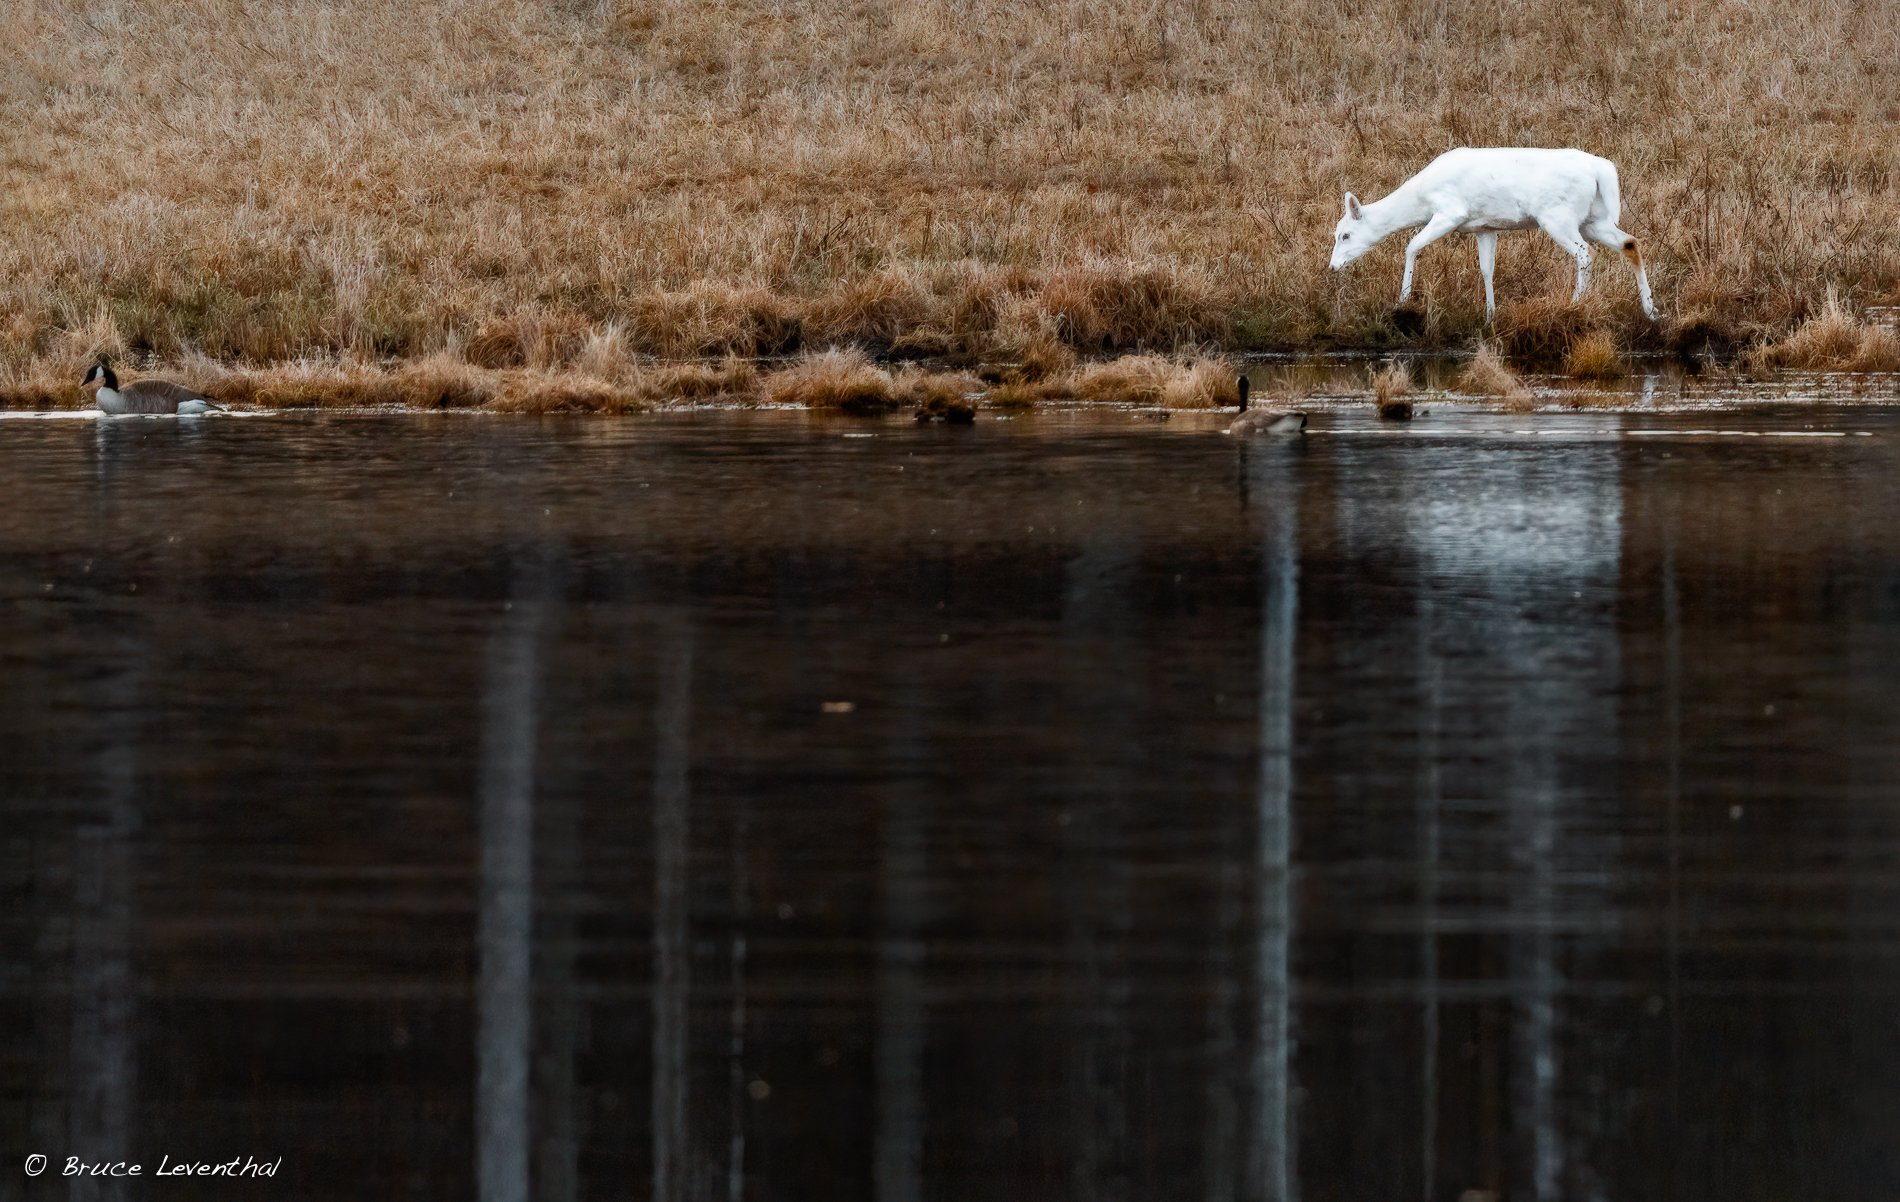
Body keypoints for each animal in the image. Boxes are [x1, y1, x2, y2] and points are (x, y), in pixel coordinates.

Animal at [1328, 148, 1658, 322]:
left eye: (1344, 235)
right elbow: (1487, 269)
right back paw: (1651, 309)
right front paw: (1490, 315)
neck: (1421, 199)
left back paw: (1575, 303)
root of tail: (1602, 171)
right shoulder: (1485, 227)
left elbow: (1411, 245)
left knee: (1584, 252)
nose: (1332, 266)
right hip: (1594, 218)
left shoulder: (1451, 212)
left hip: (1557, 216)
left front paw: (1403, 299)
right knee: (1630, 242)